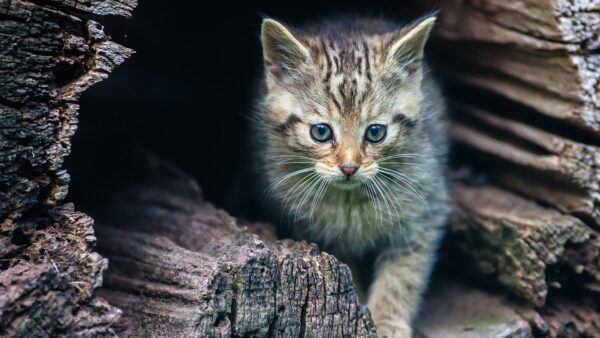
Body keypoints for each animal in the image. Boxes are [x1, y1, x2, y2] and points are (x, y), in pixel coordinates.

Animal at [254, 14, 450, 336]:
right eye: (321, 132)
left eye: (376, 132)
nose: (348, 167)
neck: (352, 201)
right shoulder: (316, 233)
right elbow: (343, 272)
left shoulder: (424, 211)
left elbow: (403, 275)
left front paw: (386, 321)